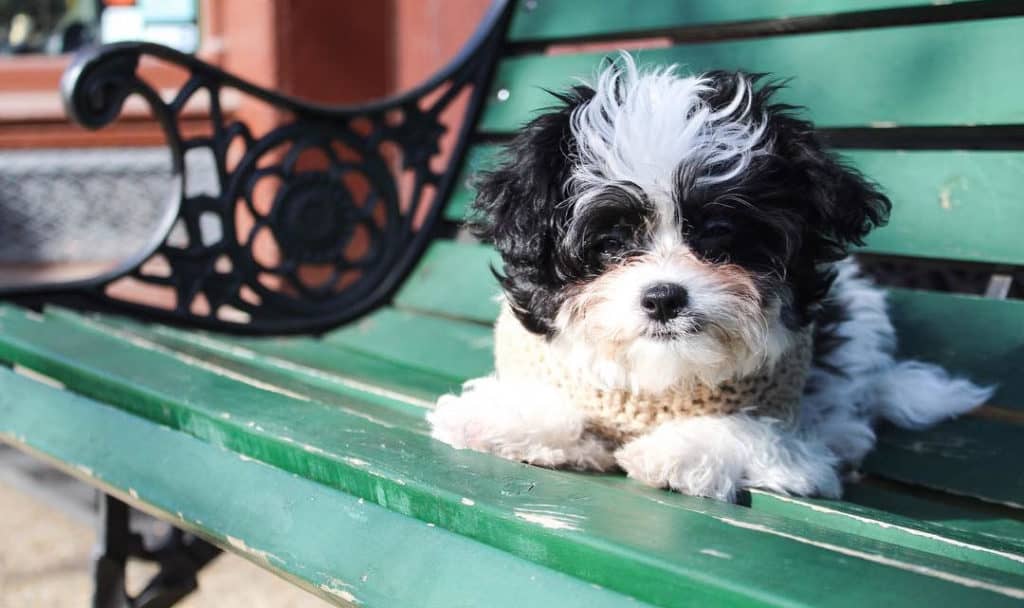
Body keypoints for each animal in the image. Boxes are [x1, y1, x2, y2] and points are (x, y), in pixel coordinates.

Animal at [425, 54, 991, 499]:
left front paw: (677, 451)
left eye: (719, 238)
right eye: (611, 244)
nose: (663, 298)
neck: (662, 377)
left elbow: (753, 433)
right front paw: (506, 419)